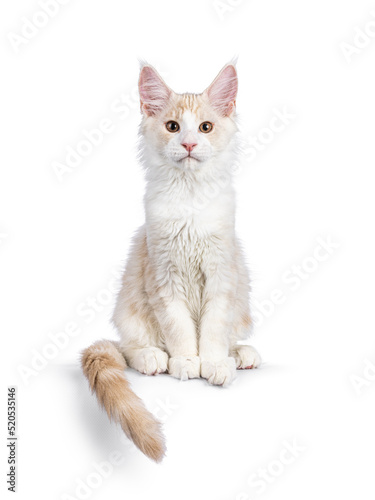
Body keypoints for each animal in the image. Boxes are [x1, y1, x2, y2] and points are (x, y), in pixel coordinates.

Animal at [80, 61, 262, 460]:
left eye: (205, 127)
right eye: (173, 127)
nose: (189, 144)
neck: (191, 198)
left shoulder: (222, 273)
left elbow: (213, 328)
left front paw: (213, 363)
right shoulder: (163, 274)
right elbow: (179, 328)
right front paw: (186, 362)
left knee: (233, 336)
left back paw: (240, 355)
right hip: (130, 306)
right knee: (129, 349)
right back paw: (153, 358)